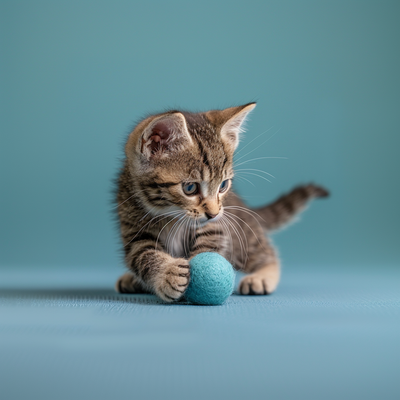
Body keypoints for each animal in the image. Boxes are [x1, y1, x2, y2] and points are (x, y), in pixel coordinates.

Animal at [113, 102, 328, 300]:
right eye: (190, 188)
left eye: (223, 185)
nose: (213, 213)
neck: (169, 214)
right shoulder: (133, 225)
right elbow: (142, 255)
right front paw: (167, 274)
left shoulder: (217, 225)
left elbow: (210, 242)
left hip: (242, 234)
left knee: (264, 252)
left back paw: (262, 276)